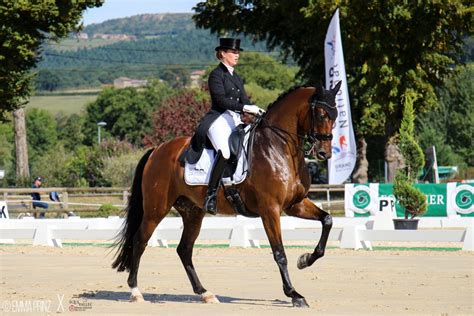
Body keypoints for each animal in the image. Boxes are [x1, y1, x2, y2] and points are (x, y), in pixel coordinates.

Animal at [111, 80, 340, 308]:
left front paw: (305, 260)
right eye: (321, 115)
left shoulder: (295, 205)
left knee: (184, 249)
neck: (278, 146)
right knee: (140, 240)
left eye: (336, 115)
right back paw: (135, 291)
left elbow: (327, 220)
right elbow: (279, 253)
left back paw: (205, 293)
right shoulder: (270, 209)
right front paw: (294, 294)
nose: (325, 153)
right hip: (156, 209)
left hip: (192, 212)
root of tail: (157, 149)